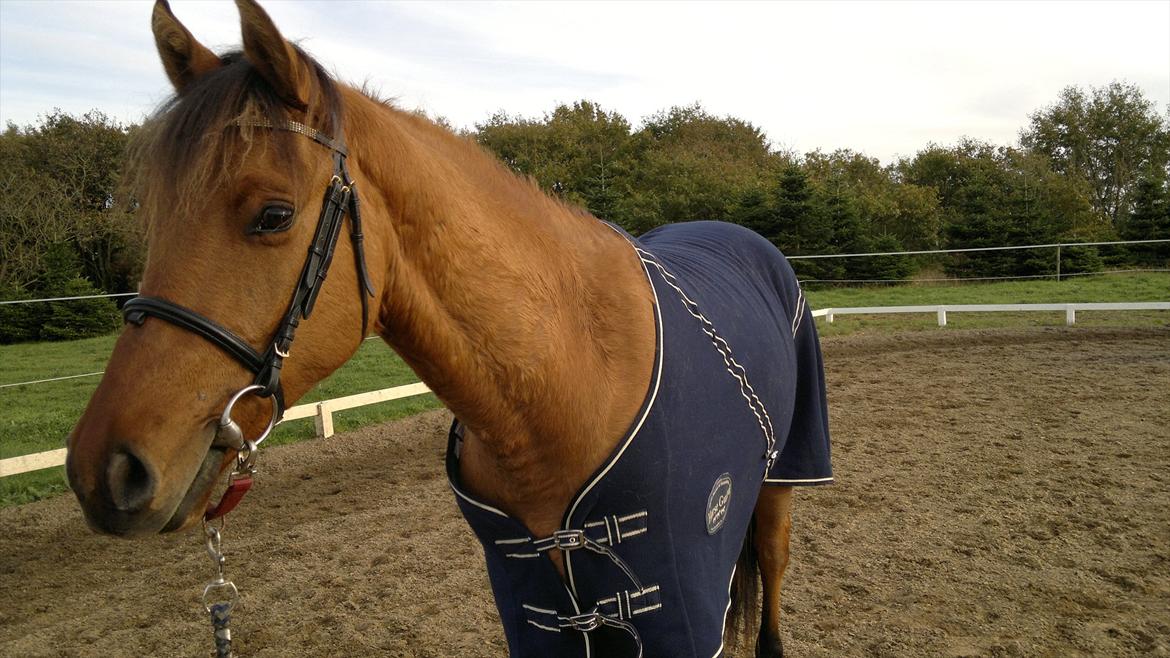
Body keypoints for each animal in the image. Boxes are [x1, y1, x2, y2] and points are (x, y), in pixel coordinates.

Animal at [65, 1, 832, 656]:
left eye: (273, 215)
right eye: (153, 214)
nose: (104, 472)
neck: (566, 378)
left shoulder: (676, 603)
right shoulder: (537, 612)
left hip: (781, 485)